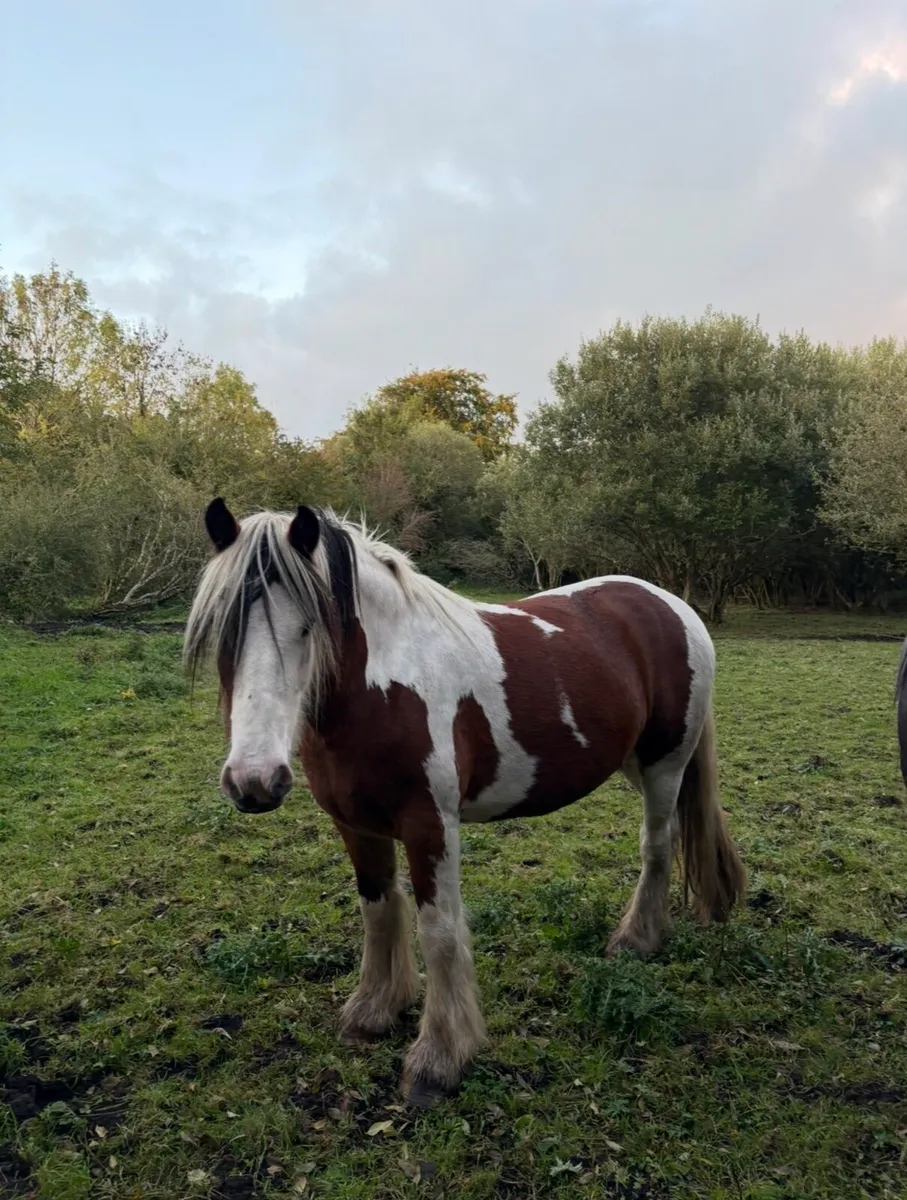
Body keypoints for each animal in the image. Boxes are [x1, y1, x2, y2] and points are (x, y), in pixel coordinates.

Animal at [184, 498, 746, 1108]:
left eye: (310, 626)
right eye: (222, 633)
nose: (255, 781)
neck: (383, 688)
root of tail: (669, 603)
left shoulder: (430, 824)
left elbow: (440, 931)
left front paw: (439, 1058)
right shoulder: (356, 825)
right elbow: (377, 910)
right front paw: (374, 1010)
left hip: (664, 764)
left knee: (658, 846)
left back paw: (636, 939)